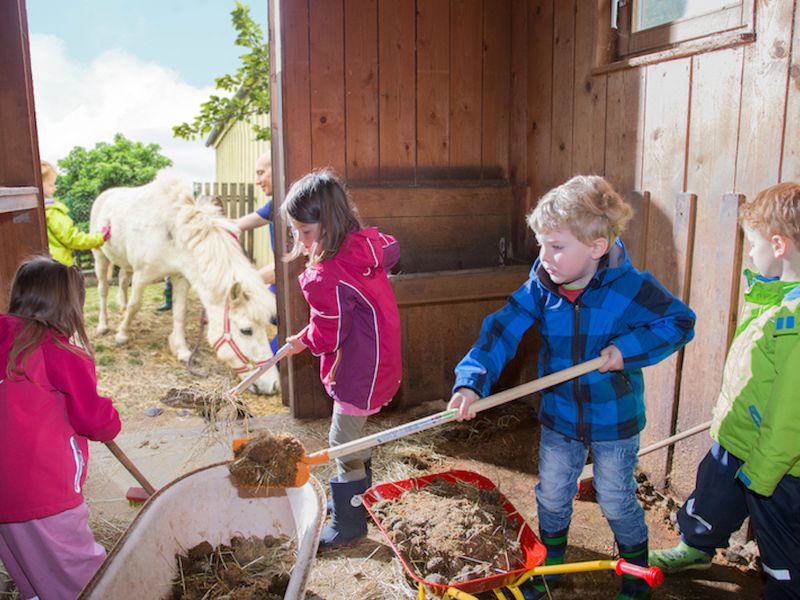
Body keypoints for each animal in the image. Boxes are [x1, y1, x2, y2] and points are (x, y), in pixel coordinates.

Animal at [88, 171, 278, 394]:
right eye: (246, 331)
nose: (272, 385)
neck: (173, 233)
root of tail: (104, 195)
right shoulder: (142, 275)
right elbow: (135, 306)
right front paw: (122, 335)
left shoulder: (180, 277)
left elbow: (179, 313)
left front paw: (181, 350)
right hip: (100, 256)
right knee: (103, 290)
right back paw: (103, 325)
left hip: (125, 263)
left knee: (122, 280)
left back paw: (121, 308)